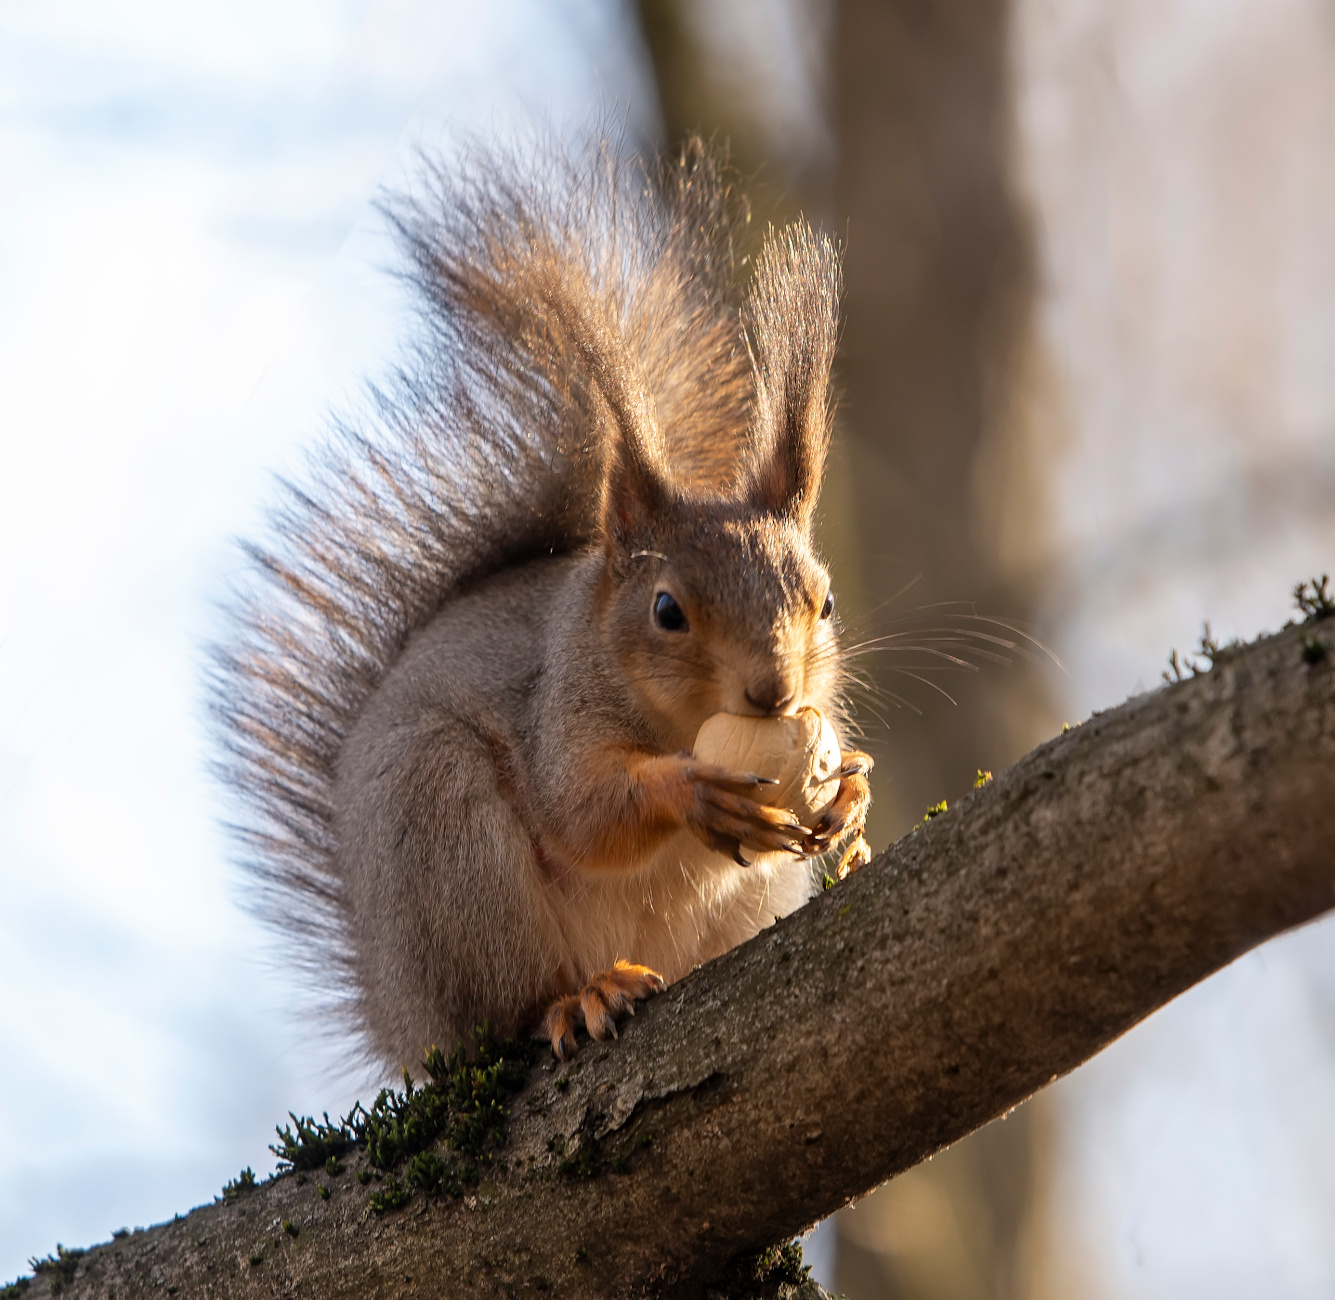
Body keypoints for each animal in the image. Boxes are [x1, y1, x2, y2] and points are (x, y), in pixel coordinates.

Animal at [213, 137, 872, 1070]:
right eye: (666, 611)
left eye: (826, 603)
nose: (772, 691)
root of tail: (401, 1021)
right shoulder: (555, 707)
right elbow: (582, 813)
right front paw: (690, 791)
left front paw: (849, 788)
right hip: (444, 844)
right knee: (512, 1004)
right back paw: (579, 997)